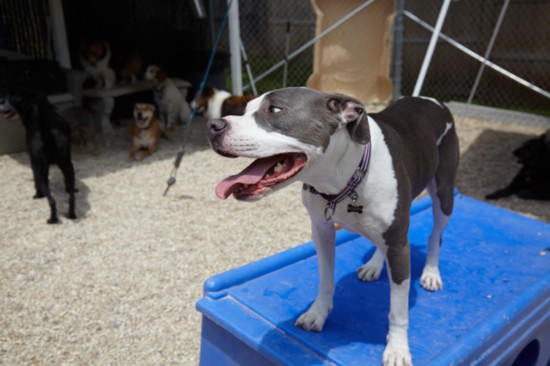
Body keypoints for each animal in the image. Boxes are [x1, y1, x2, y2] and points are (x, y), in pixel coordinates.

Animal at [0, 88, 78, 223]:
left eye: (7, 100)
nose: (0, 105)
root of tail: (47, 132)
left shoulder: (34, 163)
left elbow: (36, 182)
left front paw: (37, 195)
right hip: (68, 165)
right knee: (71, 197)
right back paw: (71, 214)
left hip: (40, 168)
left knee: (52, 200)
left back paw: (52, 219)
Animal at [208, 87, 462, 364]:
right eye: (245, 109)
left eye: (274, 109)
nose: (213, 125)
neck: (347, 176)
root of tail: (435, 101)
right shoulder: (322, 230)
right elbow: (326, 280)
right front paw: (317, 314)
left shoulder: (398, 246)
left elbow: (398, 310)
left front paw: (397, 349)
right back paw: (374, 265)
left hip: (444, 195)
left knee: (435, 235)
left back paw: (431, 272)